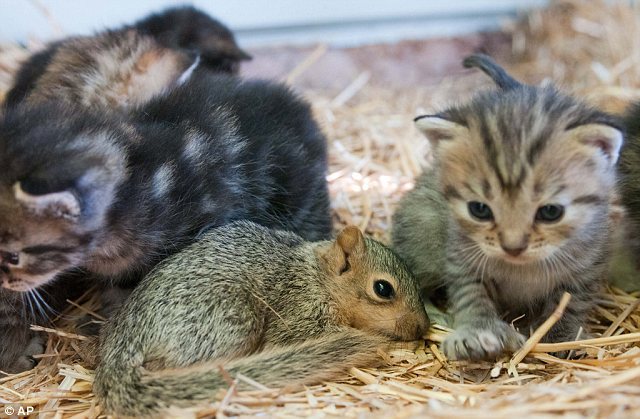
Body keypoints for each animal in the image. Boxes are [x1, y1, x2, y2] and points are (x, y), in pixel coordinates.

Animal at [94, 221, 430, 416]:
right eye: (383, 288)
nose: (422, 328)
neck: (317, 278)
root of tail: (121, 345)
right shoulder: (299, 314)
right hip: (231, 320)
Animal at [392, 52, 624, 360]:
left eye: (551, 212)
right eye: (479, 209)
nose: (513, 248)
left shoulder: (589, 264)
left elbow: (571, 302)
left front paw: (560, 336)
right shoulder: (460, 256)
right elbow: (470, 294)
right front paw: (477, 332)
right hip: (423, 231)